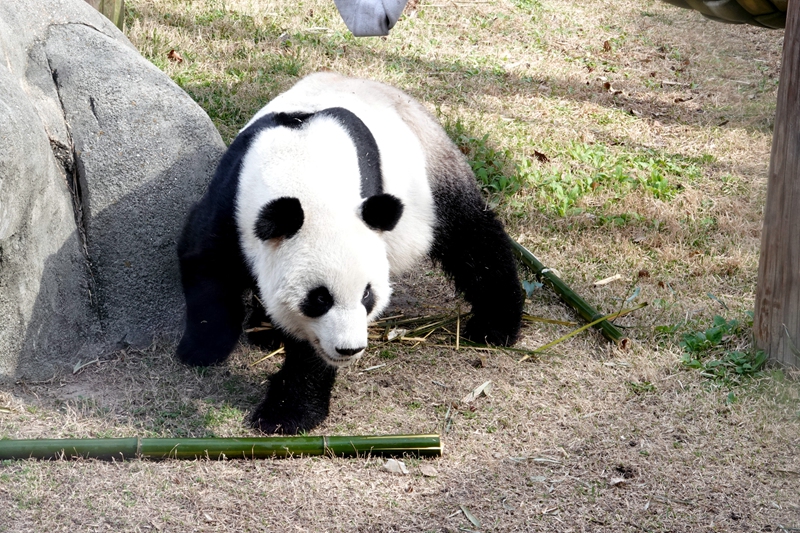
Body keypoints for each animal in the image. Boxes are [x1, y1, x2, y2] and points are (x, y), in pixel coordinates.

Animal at [177, 72, 524, 434]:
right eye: (319, 298)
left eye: (367, 295)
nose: (350, 349)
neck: (305, 170)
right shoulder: (233, 199)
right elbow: (205, 262)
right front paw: (203, 348)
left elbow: (310, 349)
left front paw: (286, 413)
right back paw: (265, 332)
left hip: (431, 178)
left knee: (472, 239)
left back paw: (494, 327)